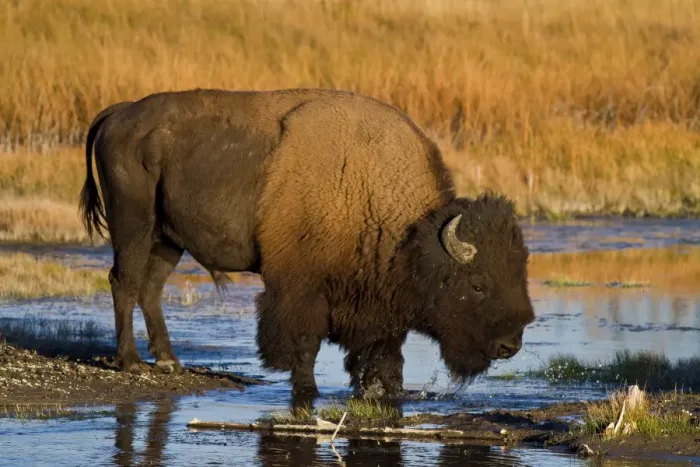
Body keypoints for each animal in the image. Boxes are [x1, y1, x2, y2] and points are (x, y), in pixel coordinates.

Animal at [79, 88, 535, 404]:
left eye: (519, 274)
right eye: (477, 284)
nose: (510, 345)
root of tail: (117, 112)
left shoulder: (375, 304)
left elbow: (380, 353)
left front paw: (382, 391)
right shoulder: (299, 288)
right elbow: (304, 344)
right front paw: (308, 391)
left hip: (168, 239)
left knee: (151, 288)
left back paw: (169, 361)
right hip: (134, 225)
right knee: (124, 281)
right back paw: (131, 362)